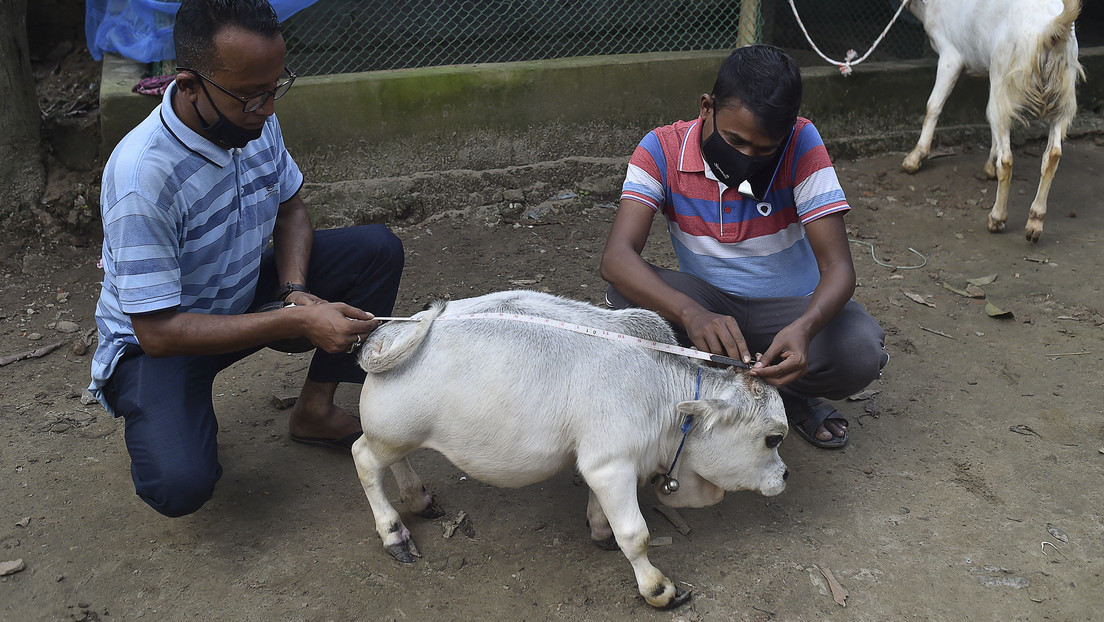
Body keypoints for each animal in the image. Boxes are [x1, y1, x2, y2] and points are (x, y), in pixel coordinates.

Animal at [348, 291, 790, 609]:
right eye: (773, 438)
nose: (784, 475)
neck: (663, 393)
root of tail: (392, 332)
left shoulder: (602, 463)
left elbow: (601, 511)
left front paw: (600, 531)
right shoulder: (611, 465)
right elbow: (636, 535)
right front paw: (657, 588)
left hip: (398, 435)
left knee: (396, 462)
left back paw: (418, 498)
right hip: (390, 433)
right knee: (364, 459)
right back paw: (393, 532)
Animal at [900, 0, 1081, 240]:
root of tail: (1050, 30)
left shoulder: (951, 55)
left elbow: (933, 105)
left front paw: (914, 159)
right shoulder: (991, 70)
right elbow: (988, 114)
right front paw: (989, 167)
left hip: (1009, 70)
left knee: (1007, 158)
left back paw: (997, 218)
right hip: (1062, 92)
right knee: (1052, 154)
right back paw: (1035, 222)